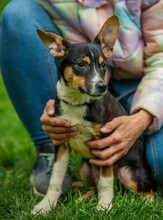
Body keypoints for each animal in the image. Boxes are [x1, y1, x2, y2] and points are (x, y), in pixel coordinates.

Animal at [32, 16, 156, 214]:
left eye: (103, 65)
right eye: (81, 65)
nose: (102, 87)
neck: (77, 102)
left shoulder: (105, 143)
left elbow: (106, 182)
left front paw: (104, 207)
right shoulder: (61, 142)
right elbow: (55, 180)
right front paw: (46, 205)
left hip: (128, 173)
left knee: (147, 190)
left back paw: (146, 203)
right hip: (86, 168)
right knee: (94, 185)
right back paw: (83, 198)